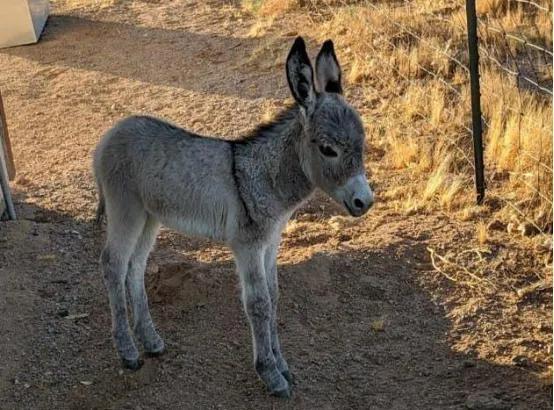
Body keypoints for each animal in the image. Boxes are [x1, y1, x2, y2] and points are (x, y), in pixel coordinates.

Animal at [94, 37, 370, 398]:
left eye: (363, 144)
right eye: (328, 150)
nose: (365, 201)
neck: (266, 177)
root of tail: (110, 134)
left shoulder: (271, 243)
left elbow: (274, 295)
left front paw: (281, 363)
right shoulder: (248, 246)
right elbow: (259, 303)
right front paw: (270, 374)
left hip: (149, 216)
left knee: (135, 266)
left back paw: (151, 341)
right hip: (125, 209)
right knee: (113, 264)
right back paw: (128, 352)